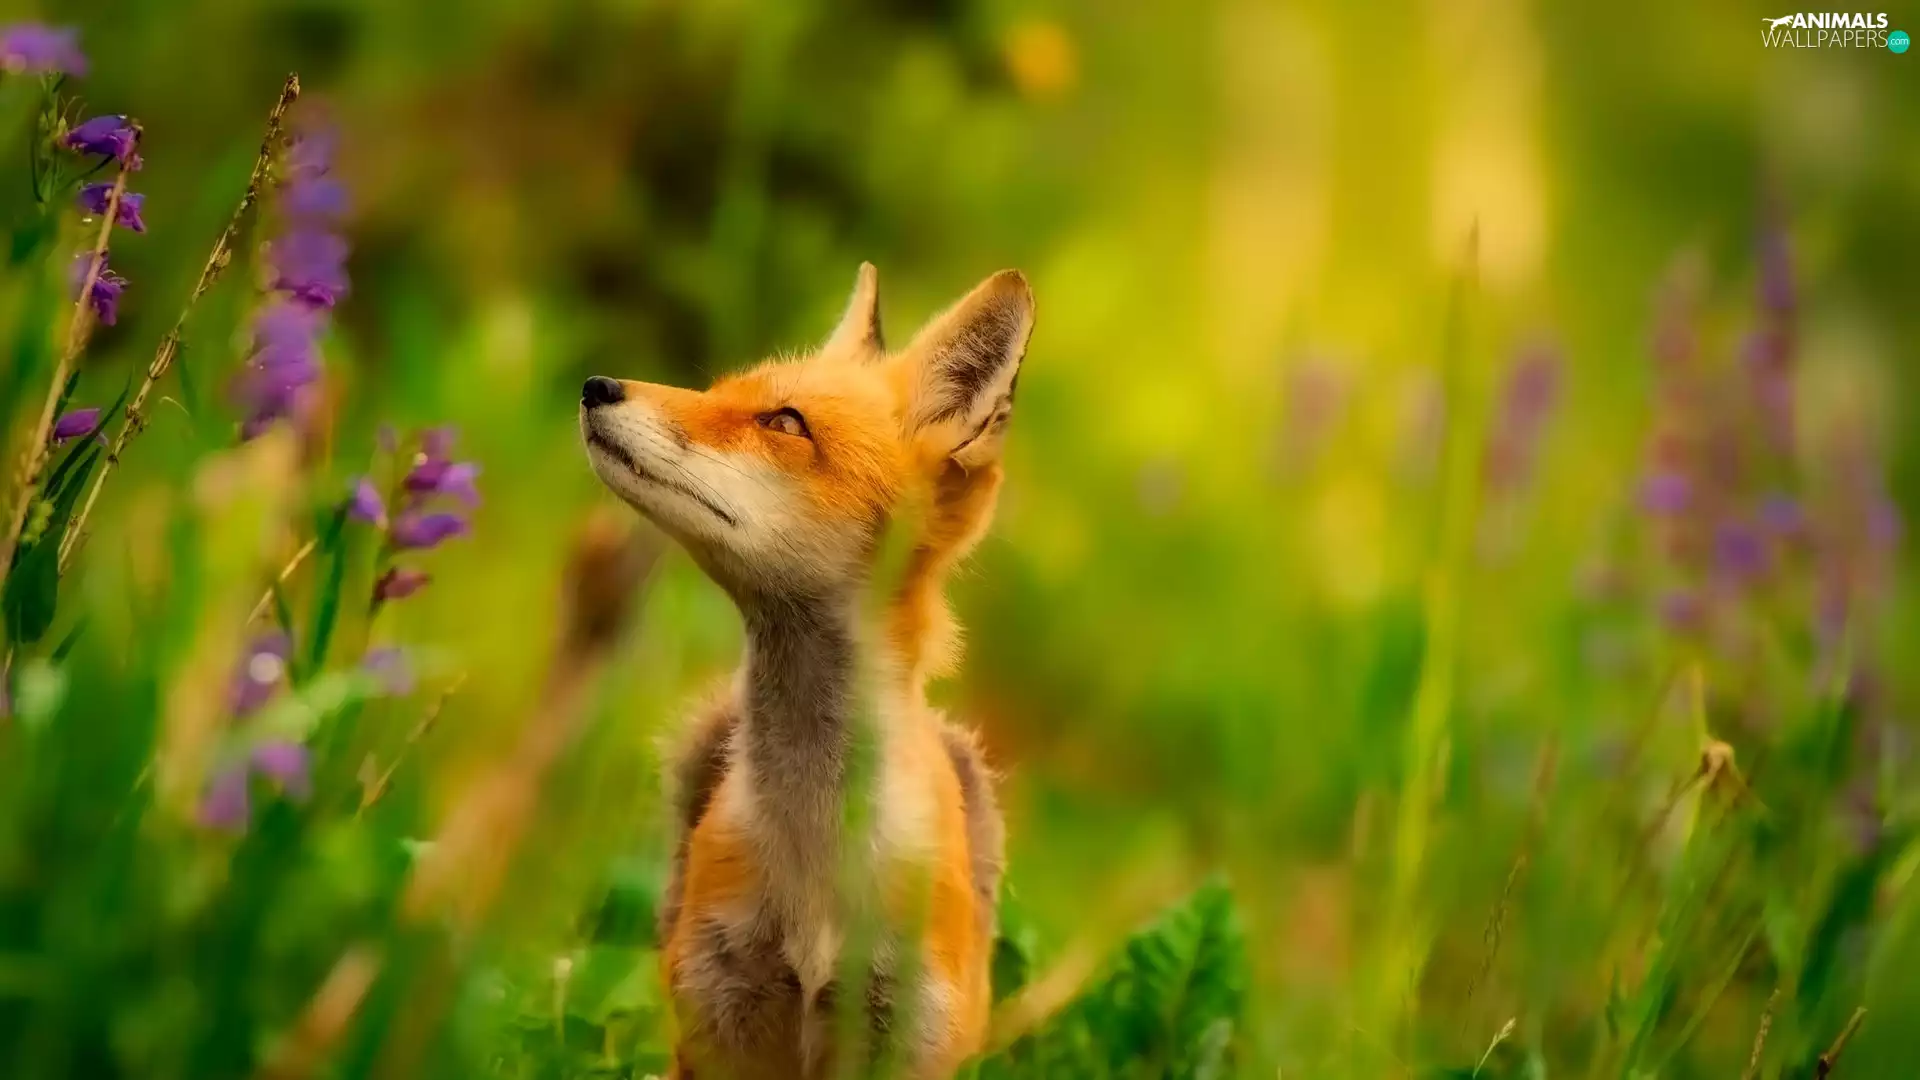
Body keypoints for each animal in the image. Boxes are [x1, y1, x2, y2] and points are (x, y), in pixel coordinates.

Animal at [578, 264, 1031, 1078]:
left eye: (784, 424)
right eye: (716, 392)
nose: (596, 385)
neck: (816, 865)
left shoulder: (908, 1034)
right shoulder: (723, 1017)